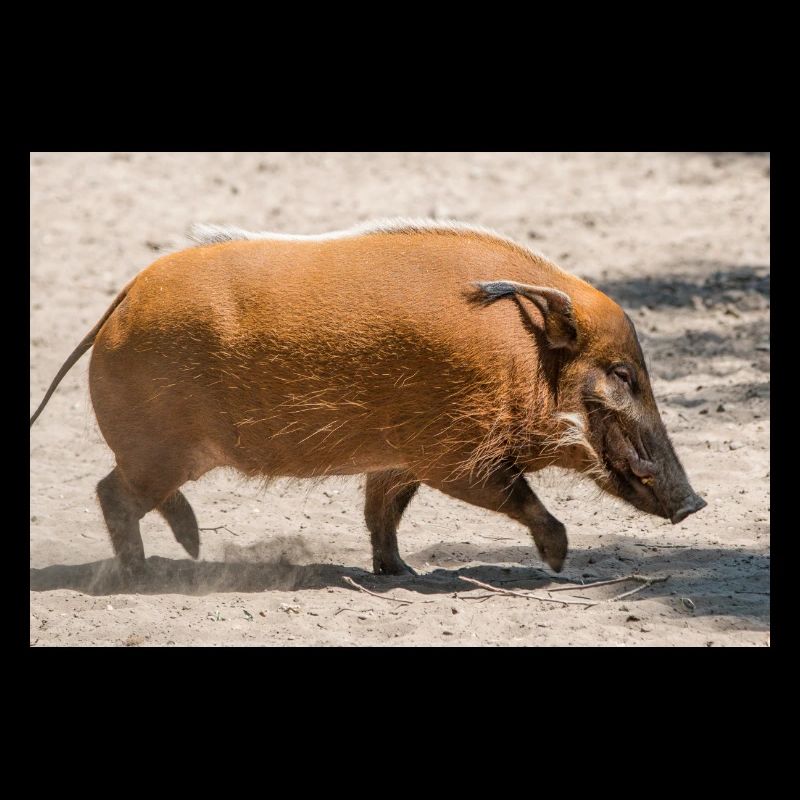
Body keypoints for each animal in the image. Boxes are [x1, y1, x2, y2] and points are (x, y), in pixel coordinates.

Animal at [30, 219, 706, 576]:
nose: (695, 504)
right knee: (113, 494)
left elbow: (383, 512)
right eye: (622, 374)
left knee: (134, 493)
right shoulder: (453, 455)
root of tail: (122, 300)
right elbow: (515, 495)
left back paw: (189, 552)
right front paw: (560, 561)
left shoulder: (399, 460)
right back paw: (143, 574)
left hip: (167, 453)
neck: (521, 355)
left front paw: (399, 573)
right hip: (161, 451)